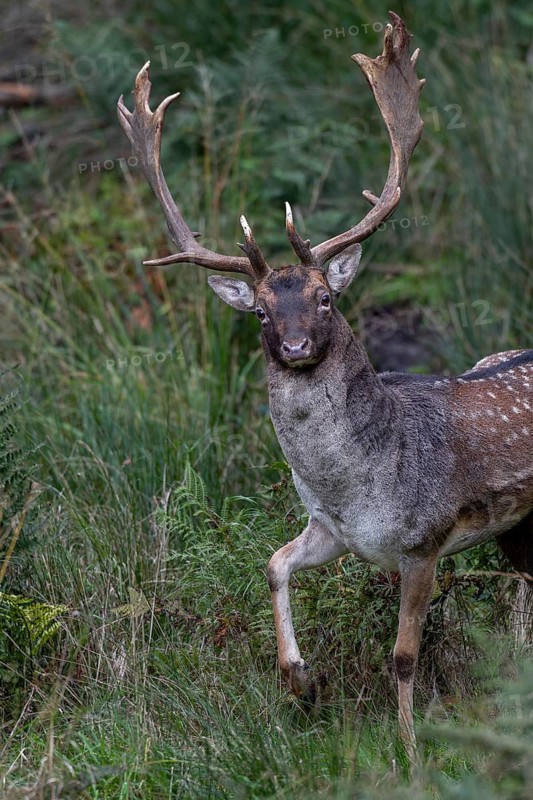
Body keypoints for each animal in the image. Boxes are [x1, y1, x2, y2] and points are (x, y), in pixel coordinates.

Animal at [118, 12, 533, 761]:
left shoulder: (423, 539)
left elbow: (403, 656)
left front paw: (410, 752)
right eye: (258, 312)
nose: (294, 347)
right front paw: (300, 682)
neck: (356, 483)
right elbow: (273, 563)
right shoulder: (331, 530)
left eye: (325, 298)